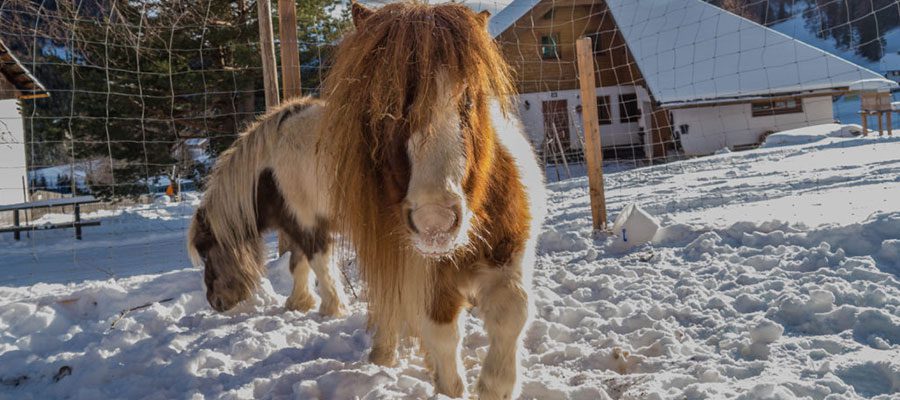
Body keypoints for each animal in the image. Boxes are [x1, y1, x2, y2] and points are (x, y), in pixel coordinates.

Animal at [186, 2, 544, 396]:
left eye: (470, 98)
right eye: (384, 104)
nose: (216, 302)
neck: (270, 166)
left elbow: (511, 312)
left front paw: (328, 306)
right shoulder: (305, 223)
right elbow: (303, 264)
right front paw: (302, 303)